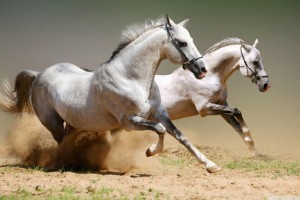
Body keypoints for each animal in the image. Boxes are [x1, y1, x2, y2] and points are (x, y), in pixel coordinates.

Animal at [0, 16, 223, 172]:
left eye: (190, 39)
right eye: (182, 42)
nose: (202, 69)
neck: (130, 77)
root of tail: (39, 74)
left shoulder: (160, 114)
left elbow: (181, 136)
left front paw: (210, 165)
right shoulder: (129, 122)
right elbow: (159, 130)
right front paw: (150, 151)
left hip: (74, 121)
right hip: (53, 123)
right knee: (61, 142)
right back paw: (64, 163)